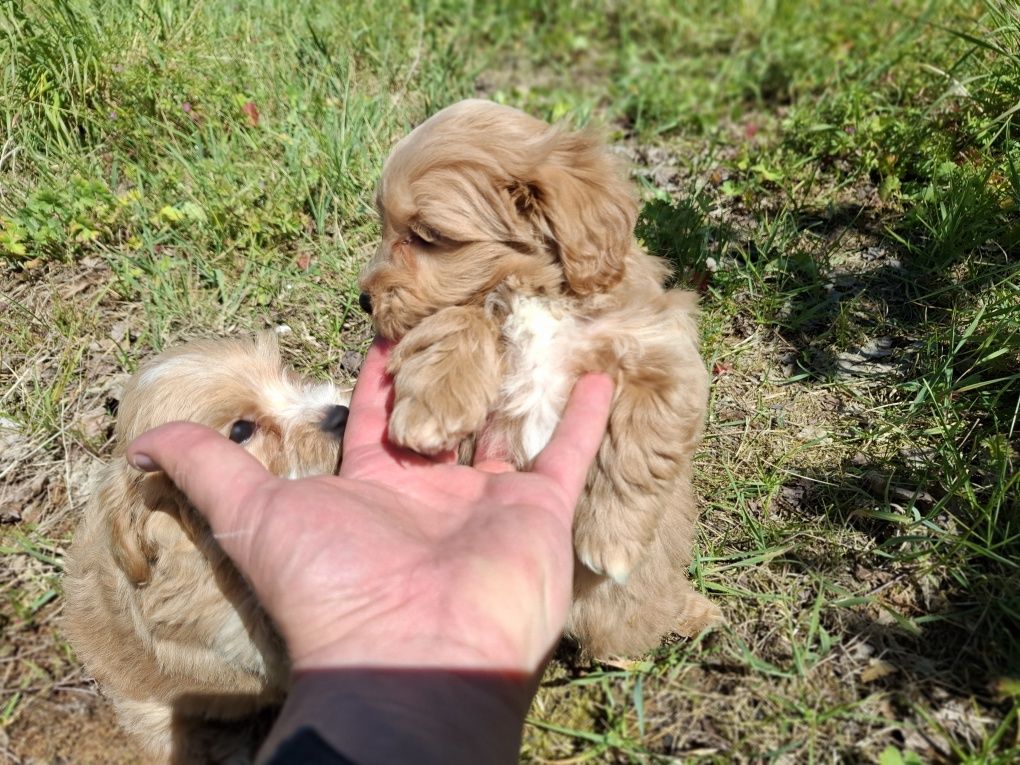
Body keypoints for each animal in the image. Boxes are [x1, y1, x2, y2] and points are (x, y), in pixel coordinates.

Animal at [363, 97, 722, 660]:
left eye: (426, 237)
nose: (363, 299)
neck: (538, 296)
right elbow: (459, 318)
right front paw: (432, 410)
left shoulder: (664, 354)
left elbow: (641, 446)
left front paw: (611, 541)